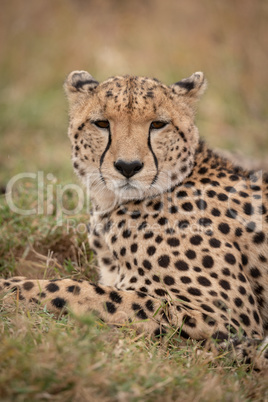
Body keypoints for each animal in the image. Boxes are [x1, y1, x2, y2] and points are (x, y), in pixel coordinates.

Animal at [0, 71, 268, 368]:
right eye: (102, 123)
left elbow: (84, 291)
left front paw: (8, 287)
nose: (128, 167)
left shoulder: (231, 321)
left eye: (158, 124)